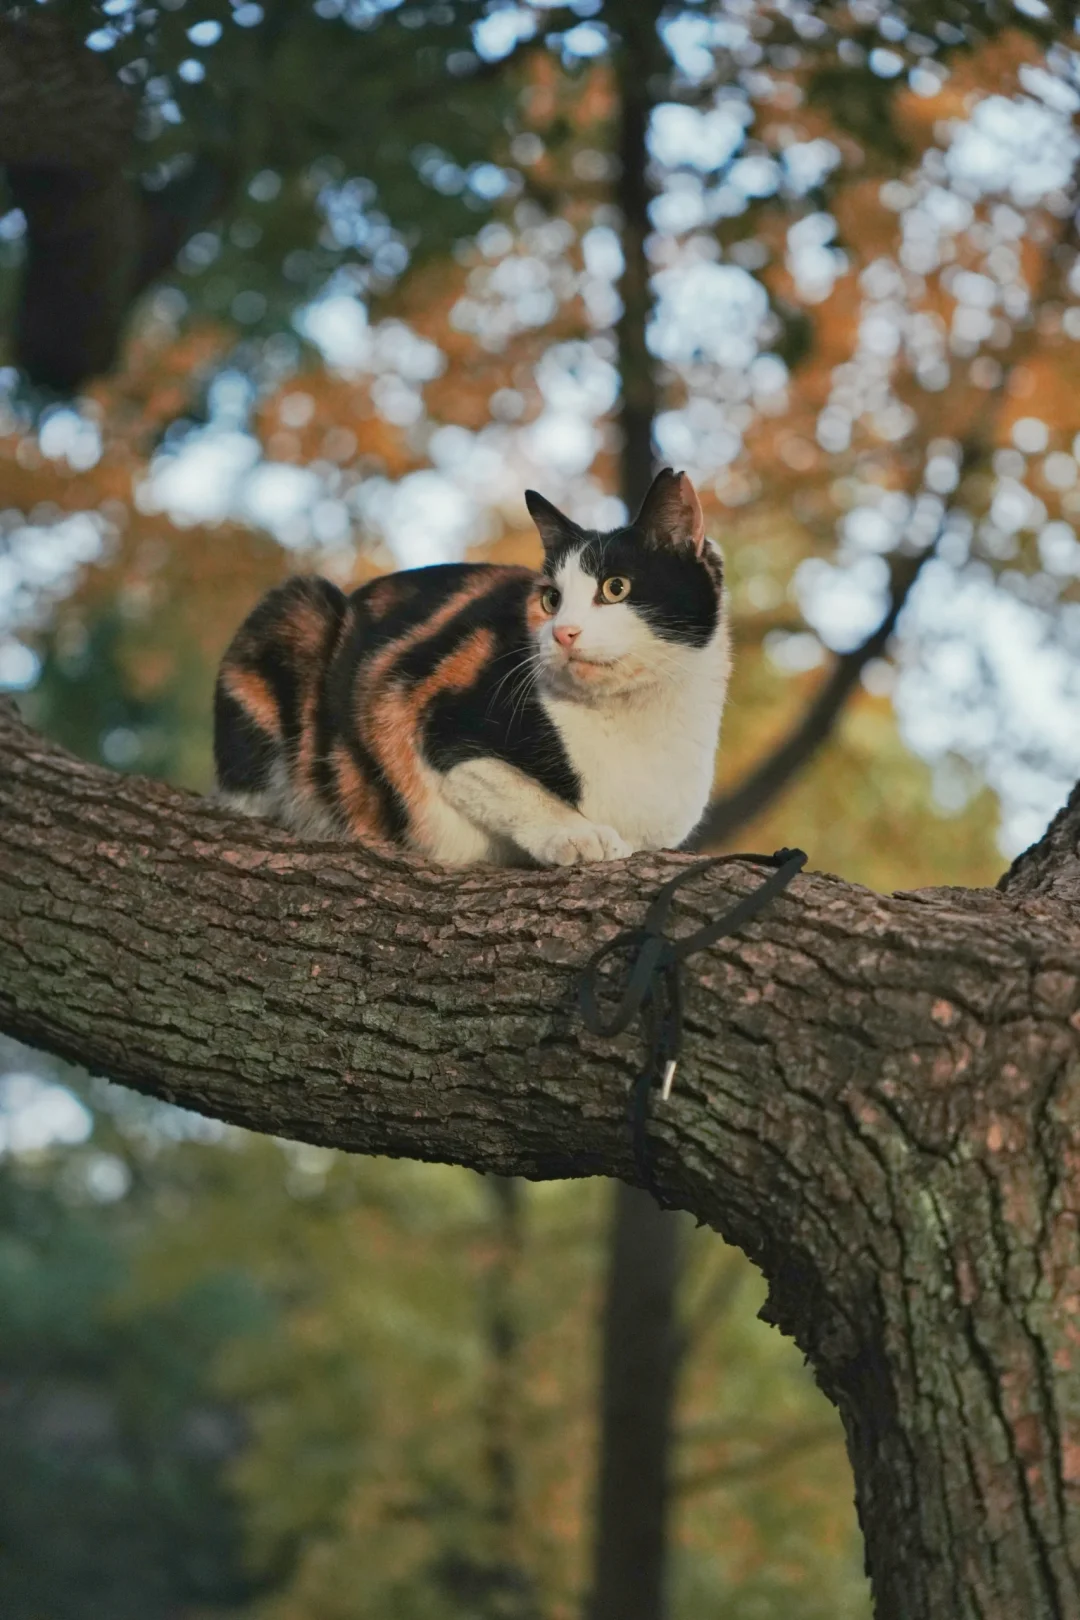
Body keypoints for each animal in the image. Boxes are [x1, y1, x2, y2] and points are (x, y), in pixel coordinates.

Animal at [215, 469, 731, 868]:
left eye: (616, 587)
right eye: (551, 599)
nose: (563, 632)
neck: (634, 718)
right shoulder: (416, 706)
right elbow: (508, 783)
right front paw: (578, 834)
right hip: (299, 608)